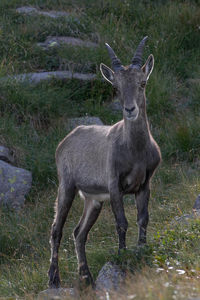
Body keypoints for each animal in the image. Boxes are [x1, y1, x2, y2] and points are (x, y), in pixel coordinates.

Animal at [48, 36, 161, 288]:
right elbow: (122, 223)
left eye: (142, 83)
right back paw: (53, 279)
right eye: (116, 88)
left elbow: (143, 219)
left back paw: (86, 277)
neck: (135, 151)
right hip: (66, 185)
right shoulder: (114, 185)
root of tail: (64, 142)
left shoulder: (144, 184)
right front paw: (122, 256)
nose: (130, 109)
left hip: (94, 200)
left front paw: (142, 250)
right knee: (56, 229)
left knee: (79, 233)